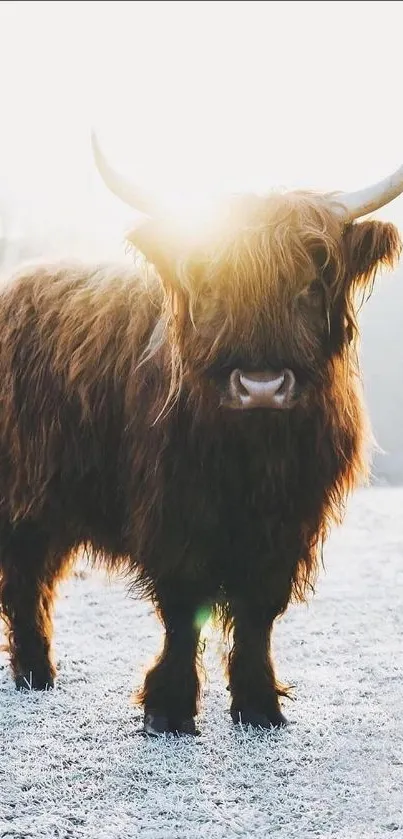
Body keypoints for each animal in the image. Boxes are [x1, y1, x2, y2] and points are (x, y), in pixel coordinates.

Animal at [0, 141, 402, 740]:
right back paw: (33, 672)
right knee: (24, 577)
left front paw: (259, 706)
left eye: (312, 280)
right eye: (209, 281)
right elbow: (182, 605)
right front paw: (167, 709)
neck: (252, 454)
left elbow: (260, 610)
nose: (261, 385)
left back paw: (38, 671)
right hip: (22, 494)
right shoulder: (173, 510)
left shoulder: (289, 522)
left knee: (34, 574)